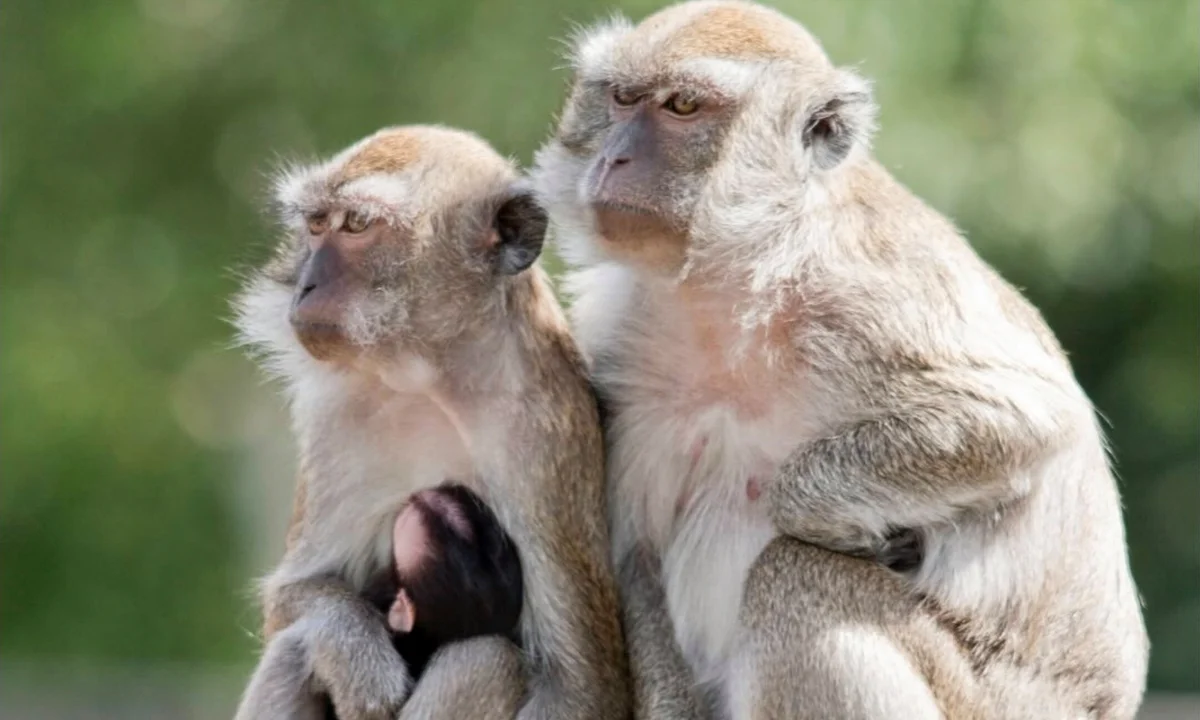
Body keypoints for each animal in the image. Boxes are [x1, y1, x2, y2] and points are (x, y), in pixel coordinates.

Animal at [530, 1, 1150, 718]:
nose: (615, 156)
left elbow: (1025, 419)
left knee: (794, 578)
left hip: (992, 703)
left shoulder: (869, 296)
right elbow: (638, 556)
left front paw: (821, 514)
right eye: (621, 99)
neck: (735, 282)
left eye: (682, 105)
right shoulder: (622, 348)